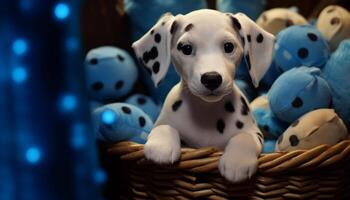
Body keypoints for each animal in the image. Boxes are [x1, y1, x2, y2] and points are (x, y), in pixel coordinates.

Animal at [133, 10, 274, 184]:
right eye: (186, 48)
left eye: (228, 46)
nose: (211, 78)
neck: (207, 110)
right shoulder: (165, 123)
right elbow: (163, 126)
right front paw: (161, 145)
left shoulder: (253, 132)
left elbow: (244, 137)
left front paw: (237, 161)